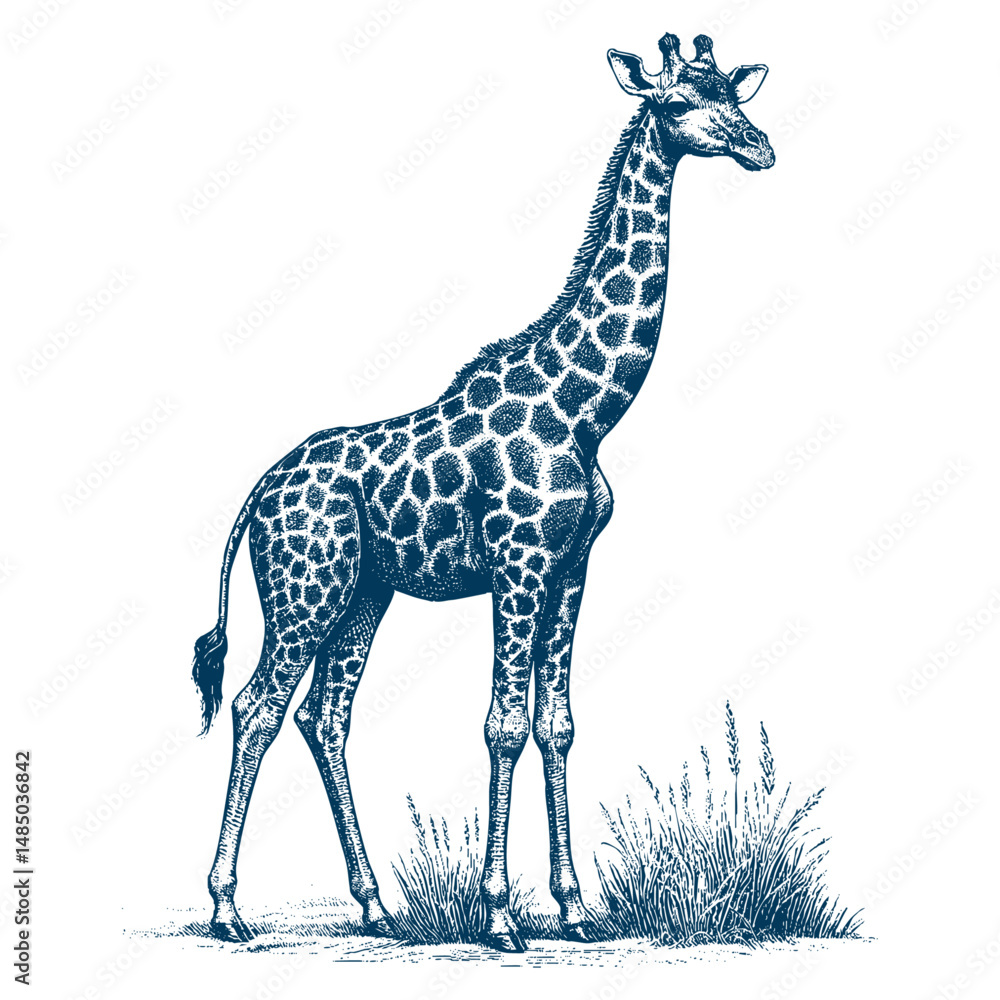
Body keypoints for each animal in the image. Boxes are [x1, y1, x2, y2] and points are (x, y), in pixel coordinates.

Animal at [192, 31, 774, 953]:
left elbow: (555, 724)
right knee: (257, 708)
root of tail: (258, 494)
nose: (761, 147)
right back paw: (226, 909)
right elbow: (503, 725)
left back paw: (377, 905)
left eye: (733, 92)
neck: (583, 409)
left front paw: (575, 909)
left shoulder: (571, 567)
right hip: (304, 591)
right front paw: (501, 916)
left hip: (363, 593)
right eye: (680, 102)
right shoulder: (519, 564)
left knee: (324, 715)